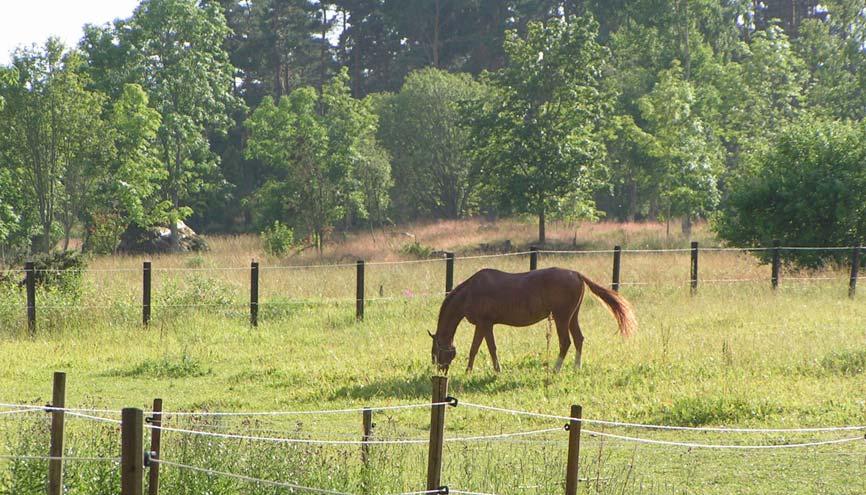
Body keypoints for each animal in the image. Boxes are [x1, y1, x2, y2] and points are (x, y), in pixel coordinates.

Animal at [426, 270, 636, 374]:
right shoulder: (482, 325)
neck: (470, 292)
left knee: (565, 342)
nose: (440, 371)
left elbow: (488, 348)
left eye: (435, 353)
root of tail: (576, 274)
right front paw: (469, 371)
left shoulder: (485, 324)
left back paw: (555, 370)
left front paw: (496, 371)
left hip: (561, 318)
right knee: (578, 339)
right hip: (572, 317)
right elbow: (476, 349)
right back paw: (577, 368)